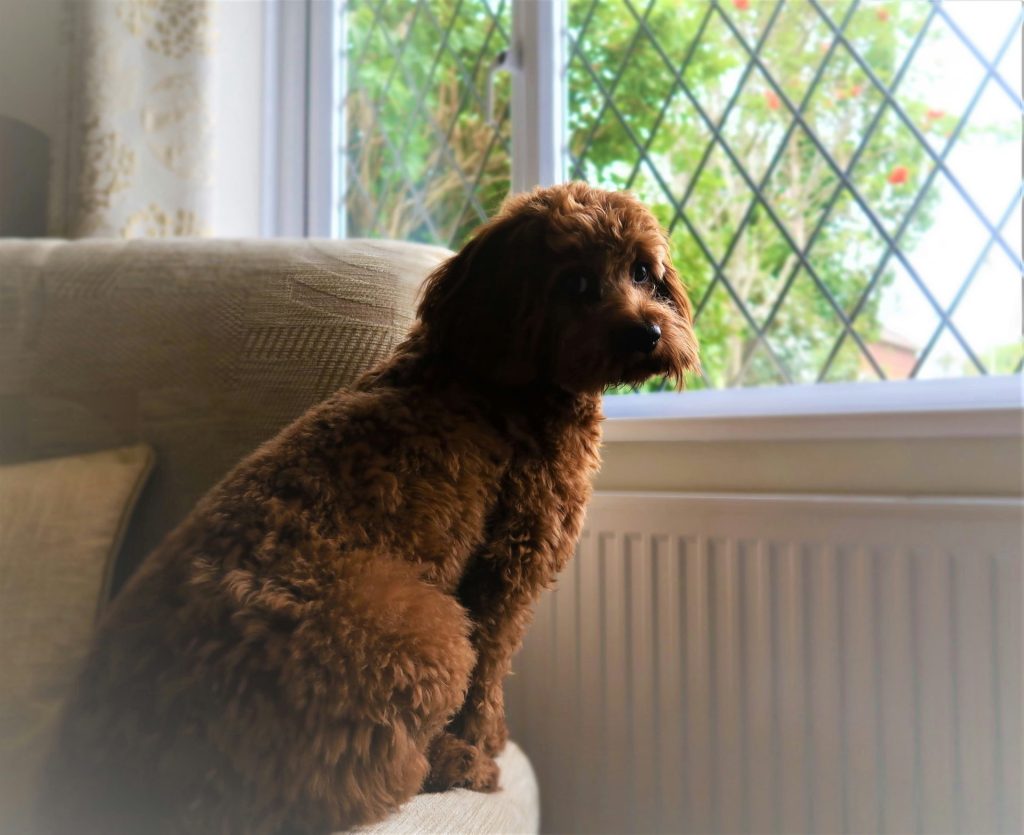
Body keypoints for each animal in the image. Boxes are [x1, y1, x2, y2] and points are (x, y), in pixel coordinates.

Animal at [39, 184, 696, 835]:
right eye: (576, 283)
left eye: (642, 271)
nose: (647, 333)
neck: (492, 376)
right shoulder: (509, 568)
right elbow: (488, 676)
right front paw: (485, 742)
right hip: (423, 633)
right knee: (355, 785)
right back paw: (458, 763)